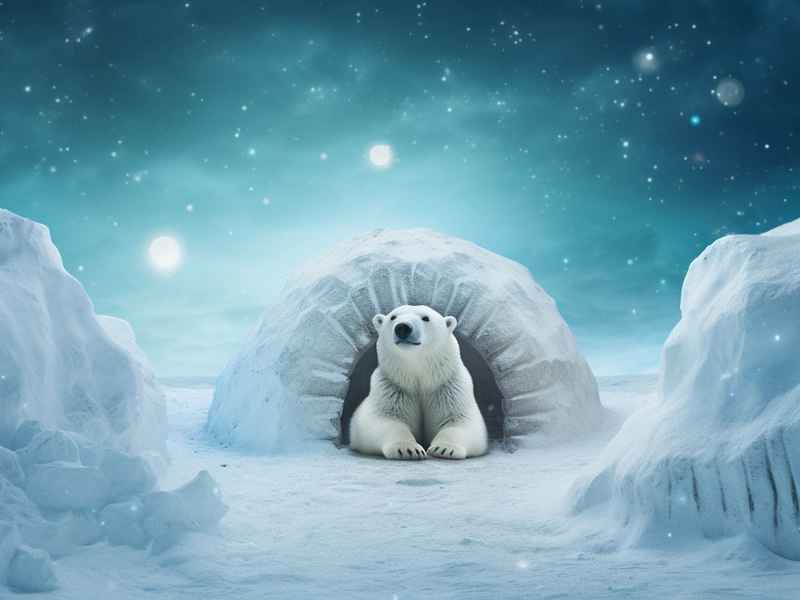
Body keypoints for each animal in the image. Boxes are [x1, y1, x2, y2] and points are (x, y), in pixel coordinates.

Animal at [349, 305, 489, 460]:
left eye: (425, 318)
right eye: (393, 317)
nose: (402, 328)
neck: (419, 376)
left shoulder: (449, 387)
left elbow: (460, 420)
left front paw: (444, 449)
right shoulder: (391, 387)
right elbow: (384, 419)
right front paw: (408, 449)